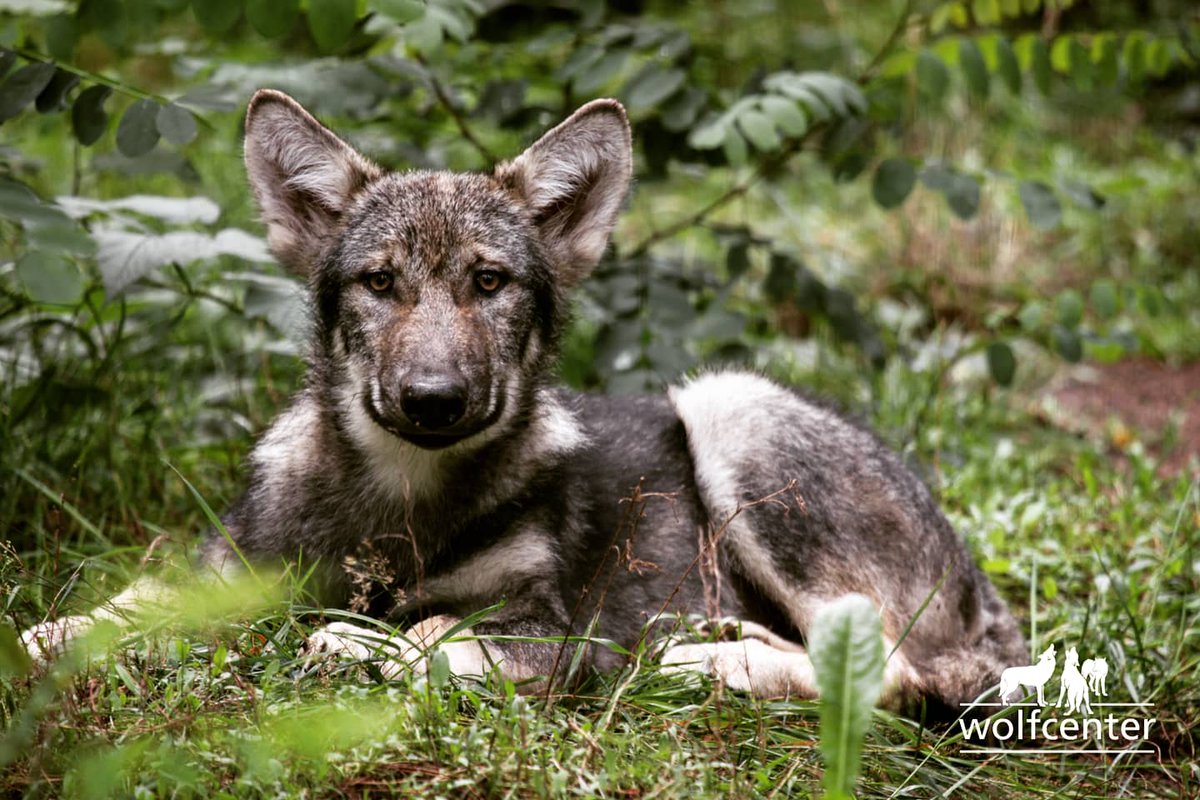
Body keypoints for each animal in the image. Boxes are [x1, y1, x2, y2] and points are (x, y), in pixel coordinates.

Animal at [21, 90, 1025, 712]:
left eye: (490, 282)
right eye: (379, 284)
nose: (432, 400)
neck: (399, 509)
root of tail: (979, 587)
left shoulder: (554, 628)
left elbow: (428, 636)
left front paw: (363, 641)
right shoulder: (231, 569)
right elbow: (121, 605)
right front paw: (49, 638)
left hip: (727, 401)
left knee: (891, 674)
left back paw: (705, 661)